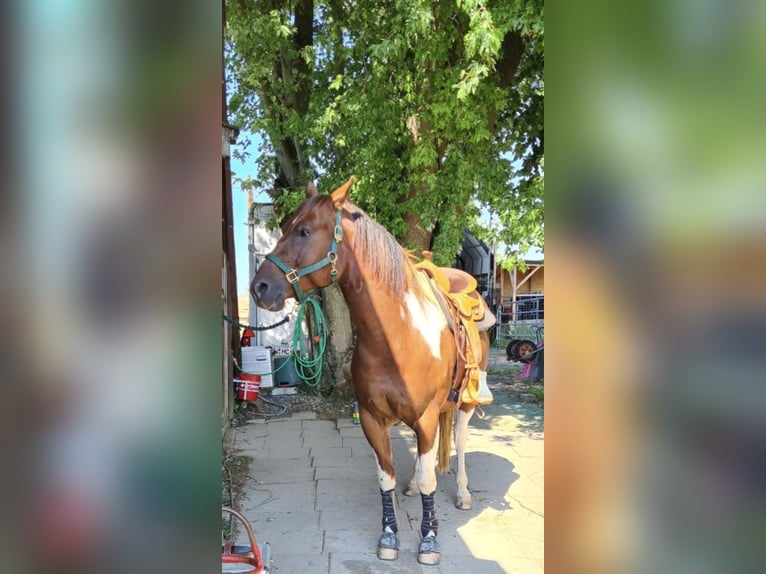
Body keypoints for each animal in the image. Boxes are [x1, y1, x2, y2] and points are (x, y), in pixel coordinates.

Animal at [251, 177, 492, 566]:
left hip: (465, 403)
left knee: (459, 440)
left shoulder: (425, 417)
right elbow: (386, 478)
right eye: (284, 227)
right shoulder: (371, 418)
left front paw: (428, 540)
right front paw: (390, 535)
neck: (396, 335)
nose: (259, 288)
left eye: (304, 231)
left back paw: (463, 493)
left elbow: (430, 481)